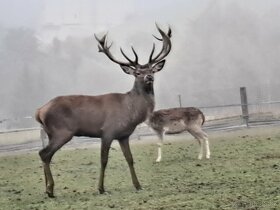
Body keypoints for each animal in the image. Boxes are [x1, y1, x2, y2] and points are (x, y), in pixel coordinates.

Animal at [35, 25, 171, 198]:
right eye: (137, 73)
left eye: (152, 70)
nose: (149, 77)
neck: (131, 110)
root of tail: (39, 111)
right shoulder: (107, 132)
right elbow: (104, 160)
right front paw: (101, 188)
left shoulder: (124, 135)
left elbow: (130, 158)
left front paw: (138, 185)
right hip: (62, 131)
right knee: (44, 153)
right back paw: (50, 190)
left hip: (52, 133)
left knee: (45, 155)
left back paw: (47, 189)